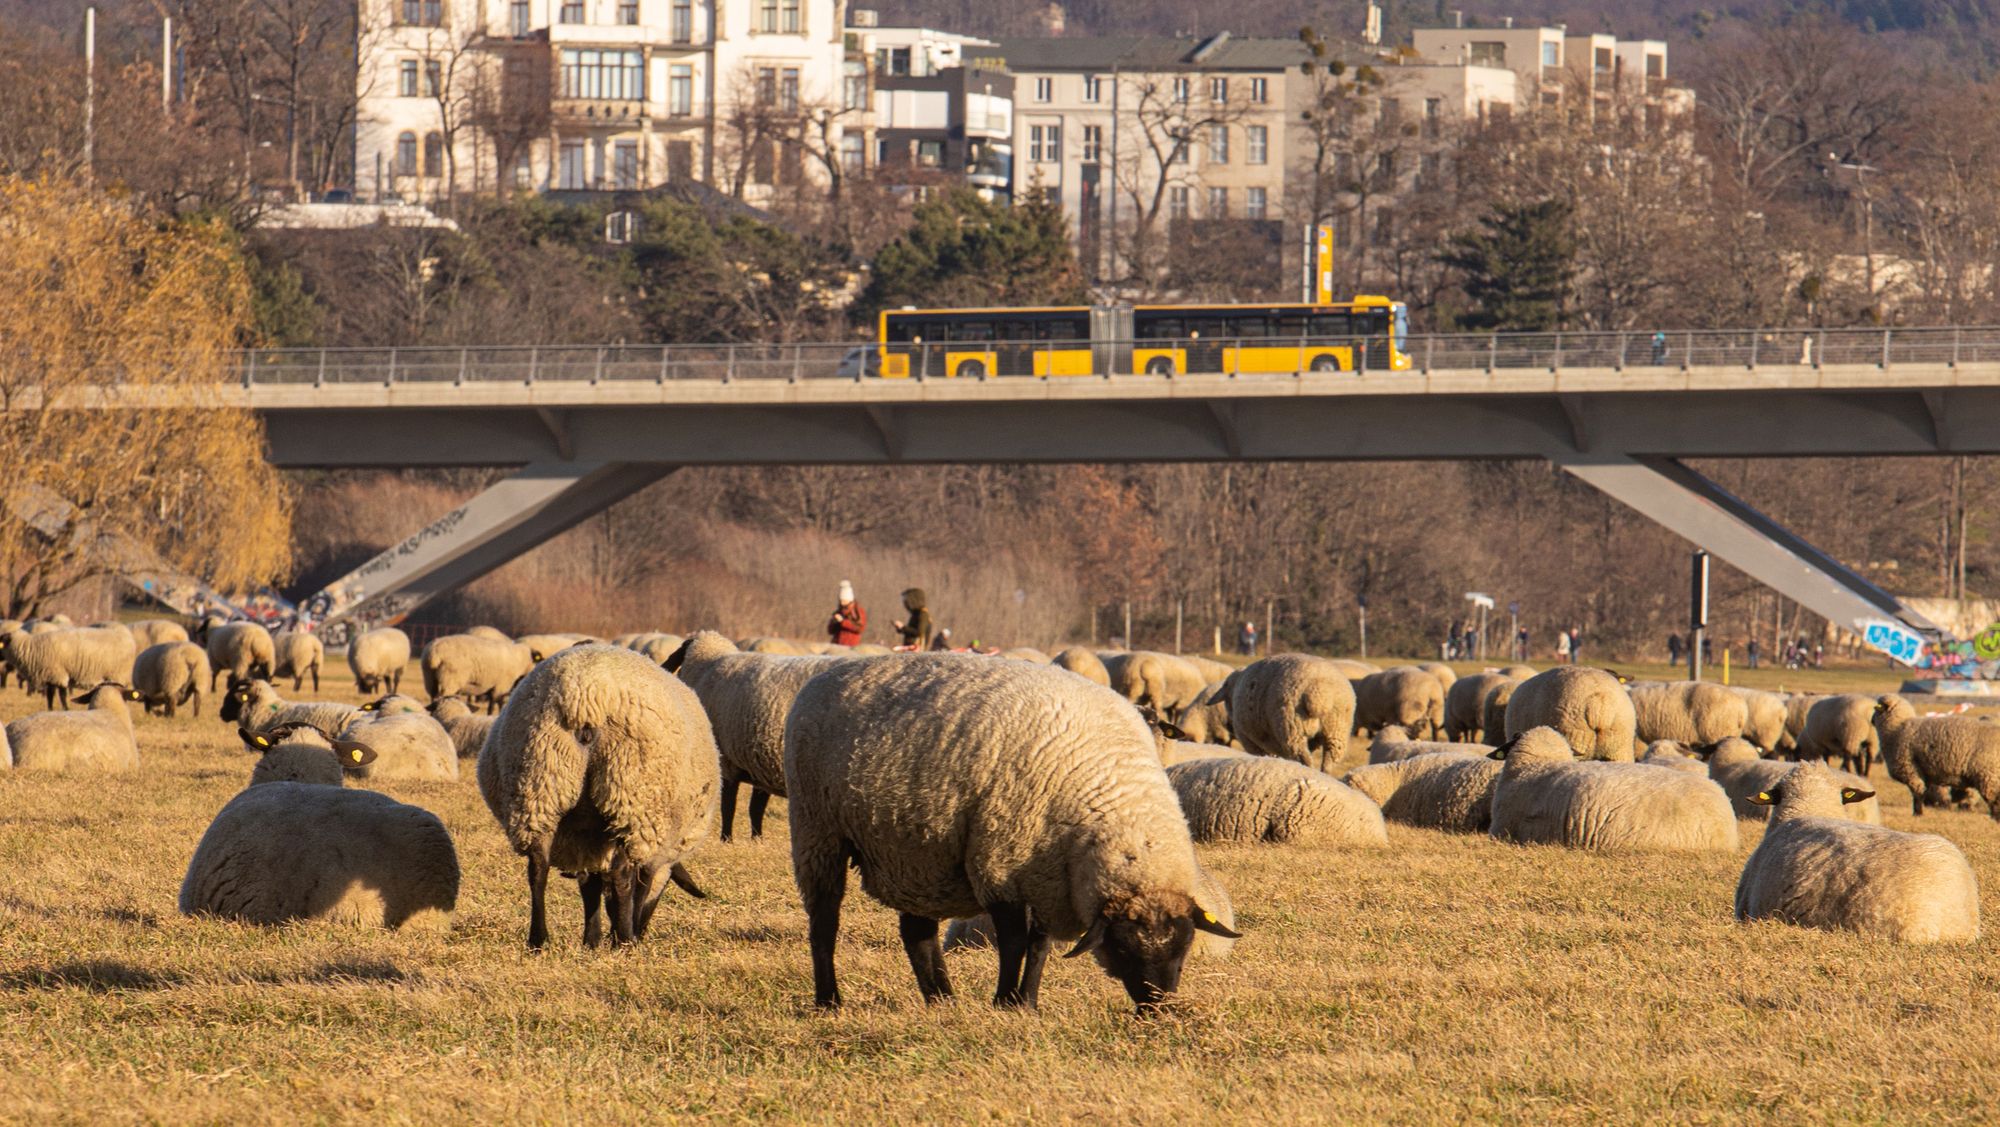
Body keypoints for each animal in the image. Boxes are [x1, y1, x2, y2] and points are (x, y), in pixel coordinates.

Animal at [1, 626, 138, 709]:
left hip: (117, 674)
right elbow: (50, 695)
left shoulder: (58, 673)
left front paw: (65, 709)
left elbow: (61, 694)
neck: (32, 648)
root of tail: (130, 640)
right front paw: (50, 709)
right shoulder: (51, 676)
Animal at [478, 644, 717, 950]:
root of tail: (583, 699)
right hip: (630, 795)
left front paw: (591, 939)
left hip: (539, 786)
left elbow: (589, 885)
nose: (642, 931)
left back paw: (539, 940)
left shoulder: (584, 839)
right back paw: (626, 940)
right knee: (622, 874)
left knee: (537, 868)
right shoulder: (650, 843)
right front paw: (619, 934)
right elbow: (638, 884)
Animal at [664, 631, 842, 842]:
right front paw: (756, 840)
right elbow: (754, 808)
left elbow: (729, 807)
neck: (708, 665)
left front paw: (726, 839)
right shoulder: (762, 763)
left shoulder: (728, 761)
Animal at [784, 655, 1239, 1011]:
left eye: (1184, 948)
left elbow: (1039, 945)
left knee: (917, 933)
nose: (1157, 1009)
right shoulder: (999, 861)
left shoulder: (1048, 874)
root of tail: (826, 675)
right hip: (818, 830)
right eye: (1124, 947)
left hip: (914, 849)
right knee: (824, 922)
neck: (1111, 794)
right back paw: (829, 1001)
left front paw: (1027, 1002)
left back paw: (942, 1000)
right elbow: (1015, 940)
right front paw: (1004, 1001)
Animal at [1228, 654, 1357, 772]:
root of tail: (1320, 692)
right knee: (1329, 761)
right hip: (1337, 732)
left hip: (1292, 729)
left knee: (1304, 758)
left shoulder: (1250, 741)